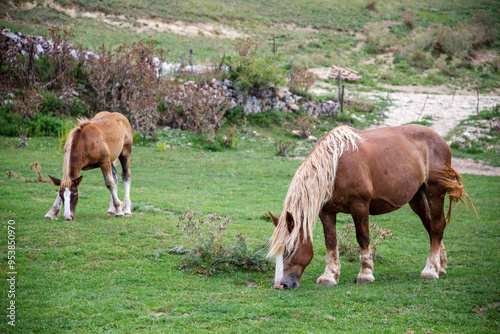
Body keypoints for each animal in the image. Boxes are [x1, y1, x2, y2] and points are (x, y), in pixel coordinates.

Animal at [268, 125, 474, 290]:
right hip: (417, 197)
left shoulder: (360, 206)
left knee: (437, 225)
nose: (280, 285)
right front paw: (329, 276)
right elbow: (330, 241)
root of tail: (441, 140)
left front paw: (365, 274)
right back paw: (440, 266)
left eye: (289, 250)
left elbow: (363, 237)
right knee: (431, 227)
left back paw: (430, 270)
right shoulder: (326, 212)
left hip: (435, 193)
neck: (335, 166)